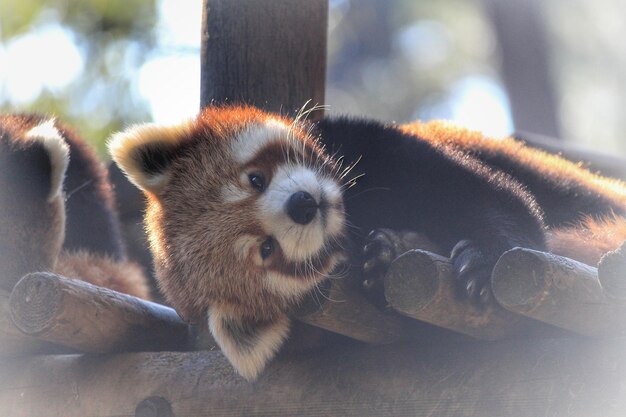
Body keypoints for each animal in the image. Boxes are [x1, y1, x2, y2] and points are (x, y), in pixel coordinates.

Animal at [107, 105, 624, 380]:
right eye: (265, 250)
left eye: (254, 179)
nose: (303, 205)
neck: (356, 213)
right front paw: (379, 262)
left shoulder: (372, 145)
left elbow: (481, 194)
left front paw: (485, 259)